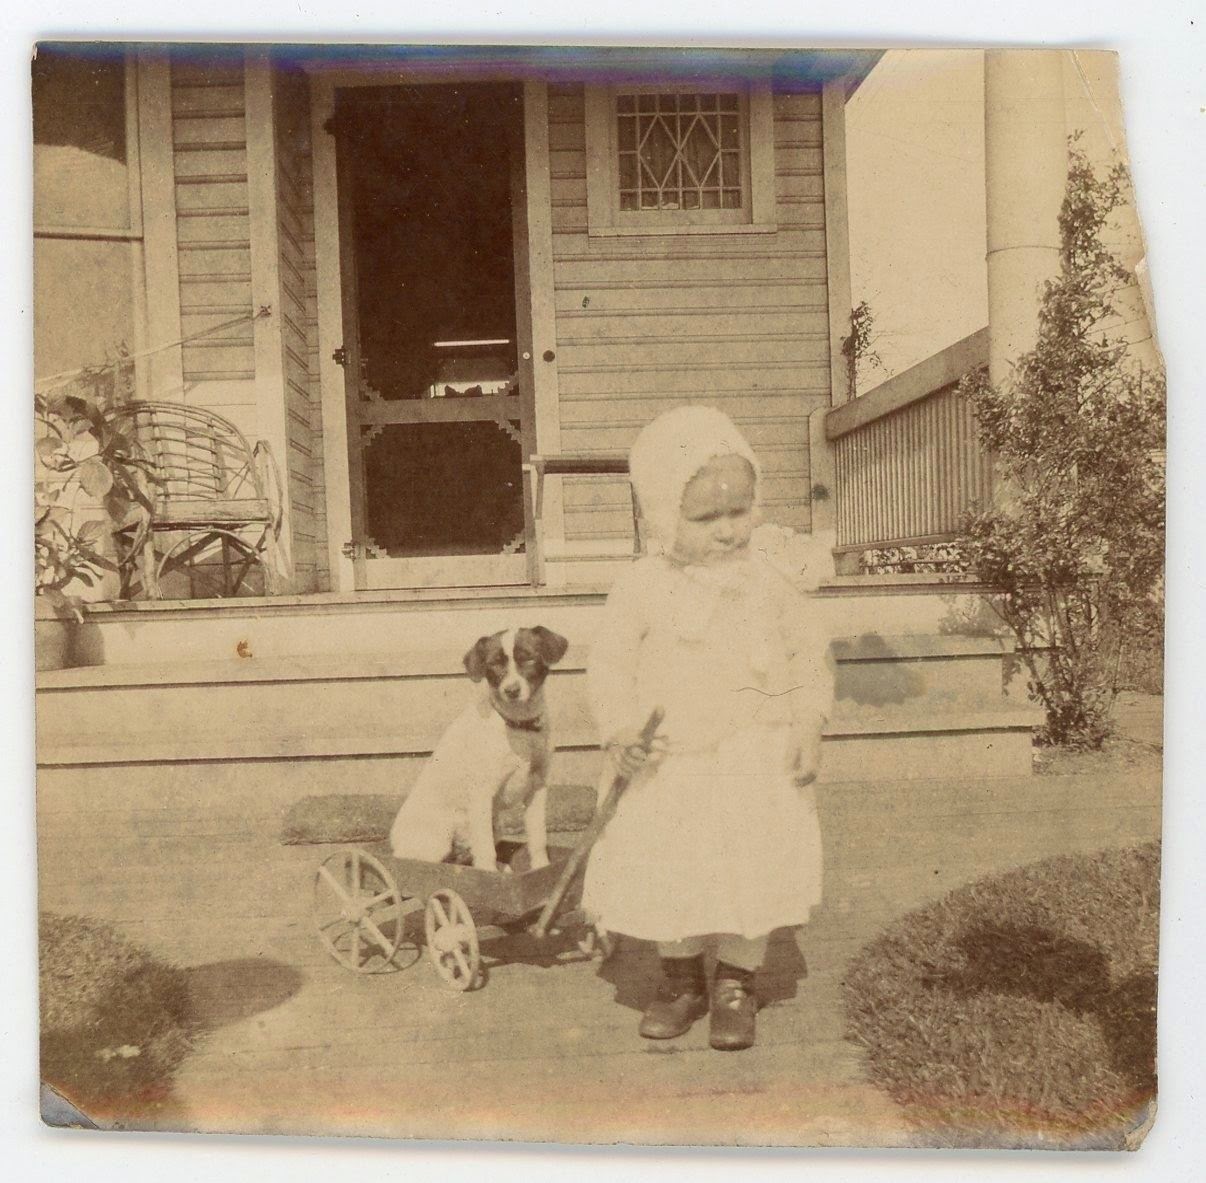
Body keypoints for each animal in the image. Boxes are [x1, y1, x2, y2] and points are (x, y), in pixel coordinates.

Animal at [389, 626, 569, 870]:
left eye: (528, 658)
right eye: (494, 664)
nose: (511, 691)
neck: (518, 726)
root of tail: (393, 840)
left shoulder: (537, 787)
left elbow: (538, 838)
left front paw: (542, 867)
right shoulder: (482, 793)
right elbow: (485, 849)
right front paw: (489, 874)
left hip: (494, 825)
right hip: (438, 838)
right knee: (420, 861)